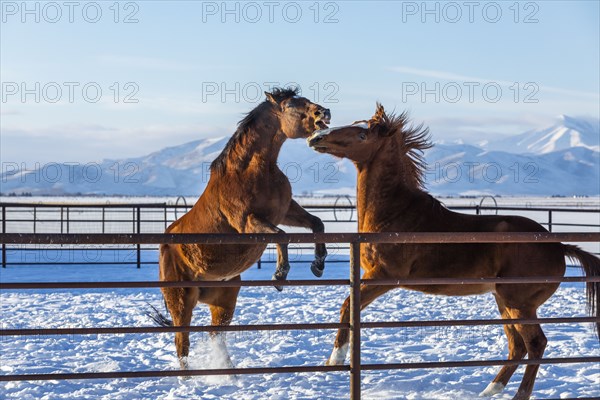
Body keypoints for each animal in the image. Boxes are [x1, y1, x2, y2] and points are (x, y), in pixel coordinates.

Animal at [310, 104, 600, 400]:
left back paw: (518, 394)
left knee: (536, 344)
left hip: (520, 304)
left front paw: (336, 359)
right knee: (517, 346)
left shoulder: (383, 276)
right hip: (504, 301)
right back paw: (489, 390)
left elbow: (348, 306)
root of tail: (559, 246)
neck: (395, 214)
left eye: (362, 135)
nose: (316, 136)